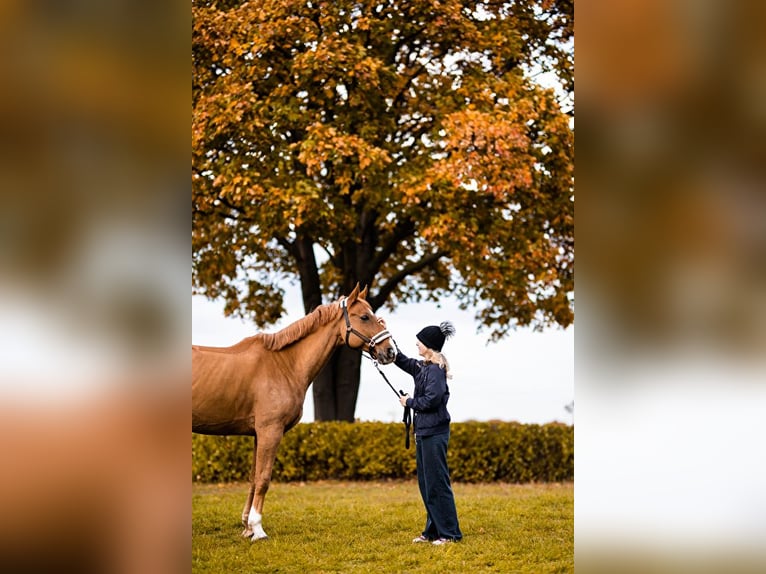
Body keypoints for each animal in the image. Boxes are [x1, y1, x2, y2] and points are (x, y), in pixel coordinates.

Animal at [192, 286, 396, 544]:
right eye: (365, 317)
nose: (390, 351)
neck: (283, 365)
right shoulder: (270, 431)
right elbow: (264, 479)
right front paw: (258, 529)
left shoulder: (258, 434)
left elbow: (253, 478)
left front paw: (247, 527)